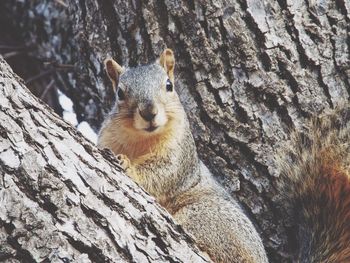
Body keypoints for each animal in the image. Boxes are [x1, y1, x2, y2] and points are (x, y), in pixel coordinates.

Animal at [98, 48, 268, 262]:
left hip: (208, 218)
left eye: (169, 86)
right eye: (120, 93)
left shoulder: (179, 150)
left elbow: (163, 172)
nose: (149, 112)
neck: (141, 138)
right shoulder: (107, 138)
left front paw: (128, 165)